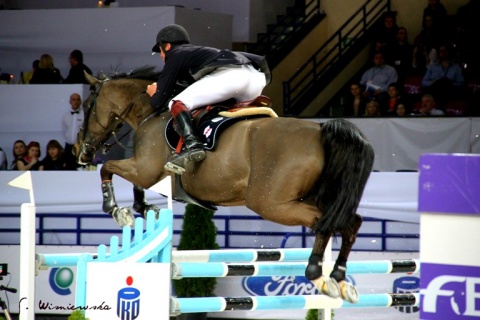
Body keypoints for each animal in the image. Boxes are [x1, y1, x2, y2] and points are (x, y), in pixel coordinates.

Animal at [74, 67, 376, 302]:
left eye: (87, 106)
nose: (81, 152)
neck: (151, 113)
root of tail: (321, 130)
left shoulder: (144, 168)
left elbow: (109, 168)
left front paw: (117, 210)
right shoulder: (149, 173)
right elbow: (135, 186)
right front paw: (145, 208)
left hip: (271, 204)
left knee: (325, 222)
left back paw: (317, 275)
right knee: (351, 223)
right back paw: (339, 279)